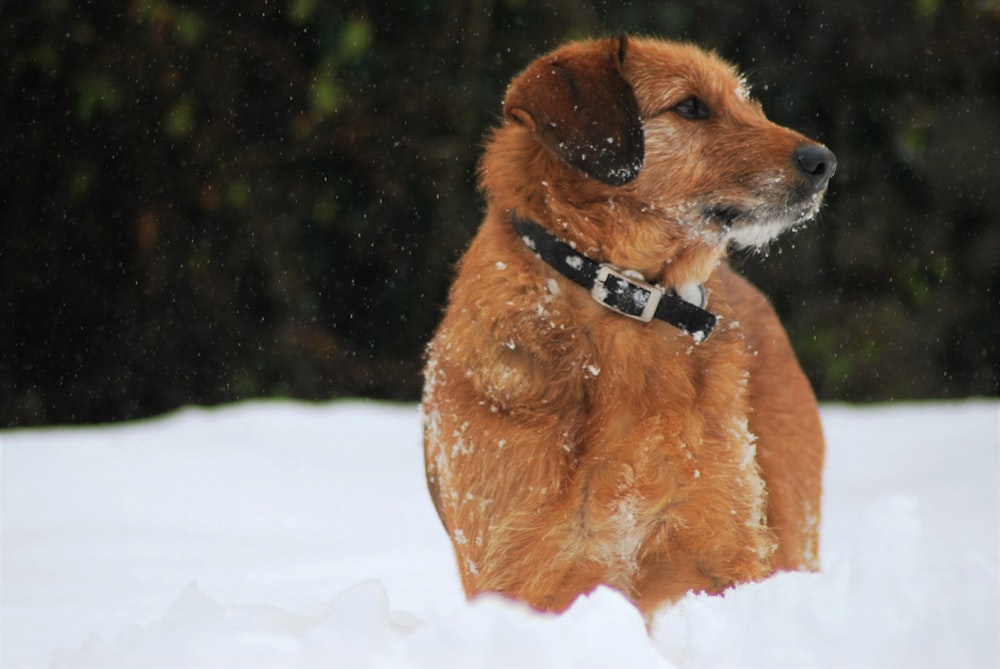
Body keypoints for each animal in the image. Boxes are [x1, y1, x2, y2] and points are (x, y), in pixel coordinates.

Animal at [420, 35, 828, 616]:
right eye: (690, 107)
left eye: (747, 102)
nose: (824, 162)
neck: (629, 300)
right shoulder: (518, 570)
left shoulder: (729, 551)